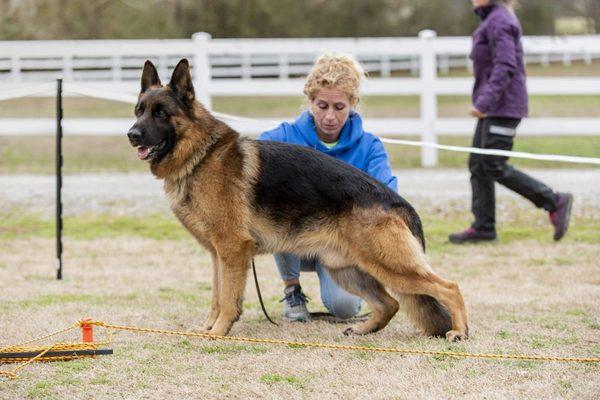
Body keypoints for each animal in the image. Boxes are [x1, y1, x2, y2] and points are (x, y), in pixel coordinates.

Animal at [129, 58, 472, 340]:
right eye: (139, 111)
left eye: (161, 113)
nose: (132, 134)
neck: (200, 155)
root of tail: (403, 206)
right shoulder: (217, 254)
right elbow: (216, 295)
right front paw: (209, 327)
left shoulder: (232, 249)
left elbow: (227, 299)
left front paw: (219, 331)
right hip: (347, 270)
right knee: (389, 303)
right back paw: (365, 329)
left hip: (390, 266)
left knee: (449, 288)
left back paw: (458, 331)